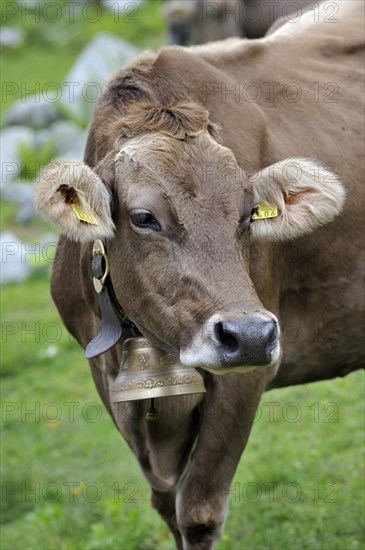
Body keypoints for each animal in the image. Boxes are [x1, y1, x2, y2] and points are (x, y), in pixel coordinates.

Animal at [34, 2, 364, 548]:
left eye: (249, 214)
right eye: (144, 217)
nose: (249, 334)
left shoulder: (246, 377)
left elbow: (197, 511)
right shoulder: (107, 381)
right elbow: (165, 507)